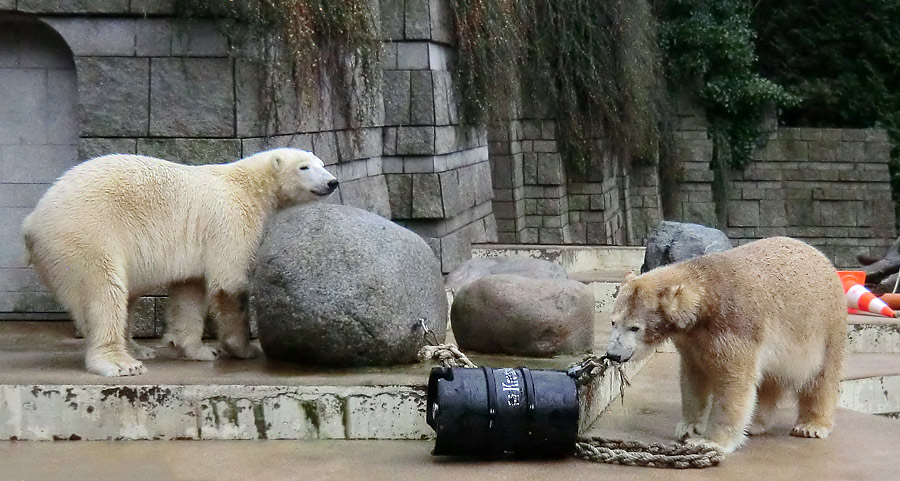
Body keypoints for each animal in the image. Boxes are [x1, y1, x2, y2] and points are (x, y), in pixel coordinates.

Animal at [21, 148, 338, 376]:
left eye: (321, 163)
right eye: (304, 167)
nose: (332, 181)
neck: (250, 184)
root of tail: (32, 220)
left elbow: (190, 291)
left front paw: (199, 350)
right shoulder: (231, 221)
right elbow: (230, 284)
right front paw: (243, 349)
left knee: (125, 295)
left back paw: (138, 350)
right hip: (87, 234)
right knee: (104, 290)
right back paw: (122, 363)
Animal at [608, 236, 848, 454]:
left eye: (635, 327)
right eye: (613, 321)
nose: (613, 354)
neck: (706, 294)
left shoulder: (734, 327)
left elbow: (733, 381)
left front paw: (709, 441)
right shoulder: (691, 340)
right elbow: (693, 377)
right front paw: (688, 427)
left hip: (825, 327)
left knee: (820, 376)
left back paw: (811, 426)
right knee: (769, 379)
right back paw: (755, 423)